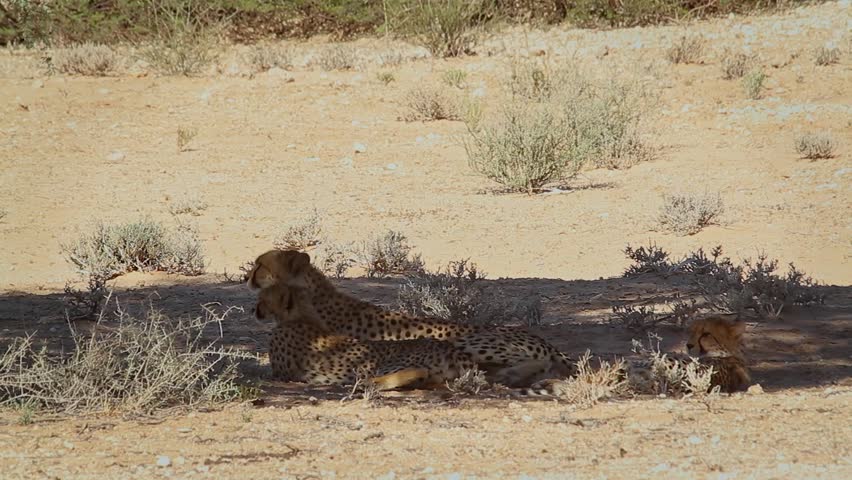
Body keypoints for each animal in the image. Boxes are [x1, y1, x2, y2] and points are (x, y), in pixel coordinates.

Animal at [256, 282, 480, 390]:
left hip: (382, 363)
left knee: (409, 372)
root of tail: (449, 347)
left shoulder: (280, 372)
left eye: (262, 299)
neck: (301, 314)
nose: (254, 310)